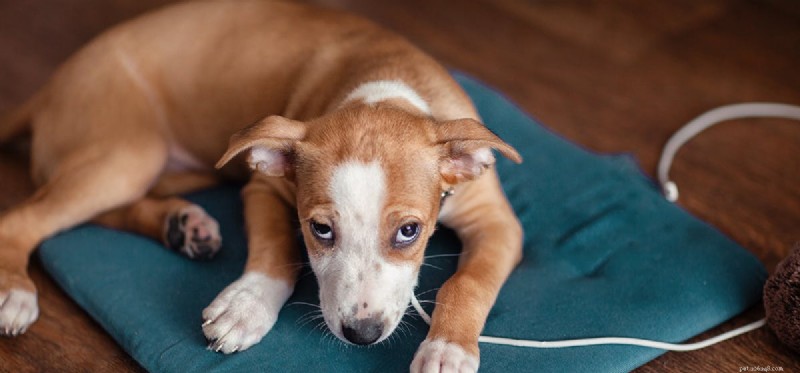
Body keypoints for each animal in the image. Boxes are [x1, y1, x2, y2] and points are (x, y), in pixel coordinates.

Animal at [0, 1, 520, 370]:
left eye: (410, 231)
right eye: (320, 230)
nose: (362, 334)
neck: (385, 85)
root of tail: (49, 87)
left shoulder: (499, 224)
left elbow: (468, 282)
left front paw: (447, 349)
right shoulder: (264, 189)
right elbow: (275, 249)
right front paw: (247, 305)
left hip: (179, 166)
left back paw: (182, 225)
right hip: (130, 153)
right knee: (24, 217)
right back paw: (15, 292)